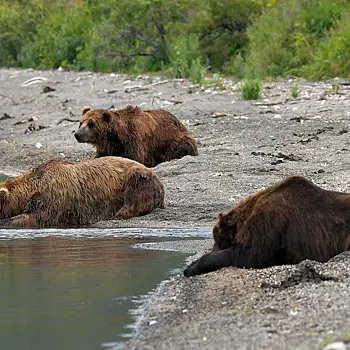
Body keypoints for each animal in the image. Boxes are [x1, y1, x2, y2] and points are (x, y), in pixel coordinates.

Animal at [183, 176, 350, 278]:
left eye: (218, 240)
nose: (214, 247)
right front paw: (191, 264)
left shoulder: (269, 226)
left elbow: (247, 255)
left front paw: (191, 268)